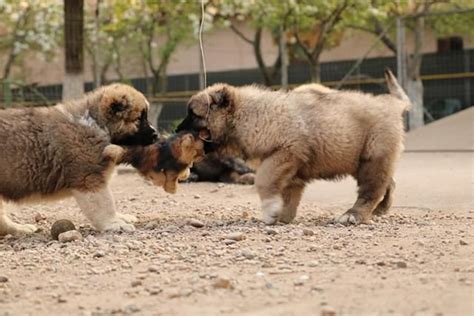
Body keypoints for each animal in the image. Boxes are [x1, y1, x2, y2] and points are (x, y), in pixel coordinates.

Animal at [0, 82, 159, 236]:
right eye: (139, 118)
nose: (156, 134)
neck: (97, 124)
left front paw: (120, 217)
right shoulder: (88, 179)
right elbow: (104, 204)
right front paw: (113, 223)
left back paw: (19, 229)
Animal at [176, 70, 410, 226]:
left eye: (193, 114)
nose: (176, 130)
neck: (248, 115)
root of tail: (392, 104)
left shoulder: (284, 153)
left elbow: (263, 180)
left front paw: (271, 210)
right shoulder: (290, 167)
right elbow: (289, 195)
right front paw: (282, 215)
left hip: (372, 157)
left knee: (371, 189)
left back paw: (354, 214)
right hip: (362, 159)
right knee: (388, 182)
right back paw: (381, 208)